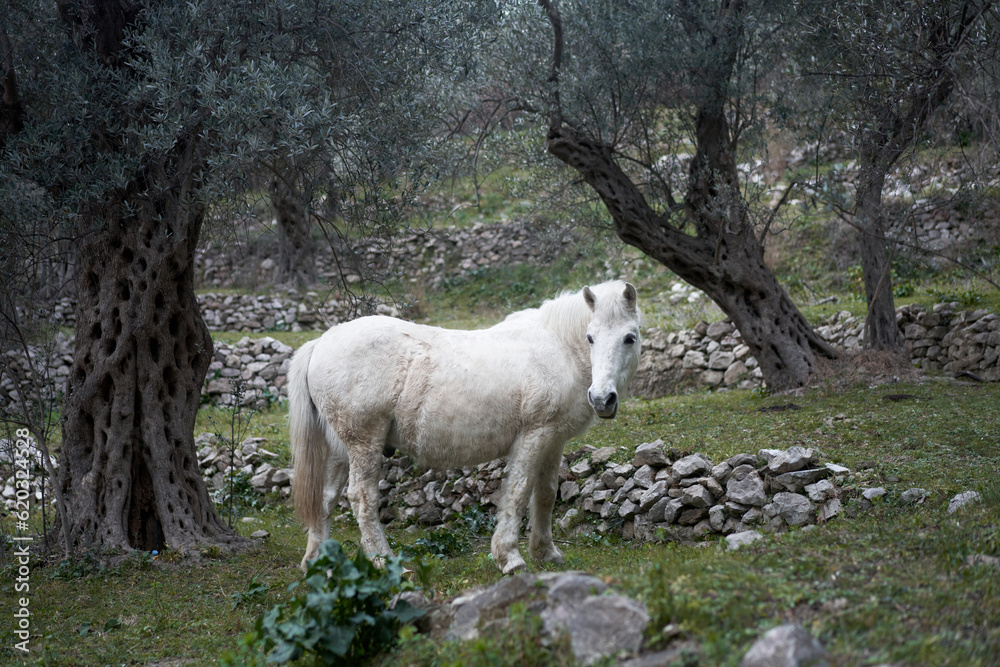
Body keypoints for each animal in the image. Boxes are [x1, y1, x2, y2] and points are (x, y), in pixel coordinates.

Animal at [288, 280, 642, 574]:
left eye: (629, 338)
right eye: (590, 337)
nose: (602, 399)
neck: (558, 349)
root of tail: (322, 342)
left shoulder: (553, 441)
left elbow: (545, 495)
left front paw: (546, 553)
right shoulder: (534, 437)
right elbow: (518, 493)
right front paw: (510, 558)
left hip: (341, 449)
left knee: (326, 499)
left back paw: (316, 562)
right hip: (364, 444)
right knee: (362, 499)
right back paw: (385, 562)